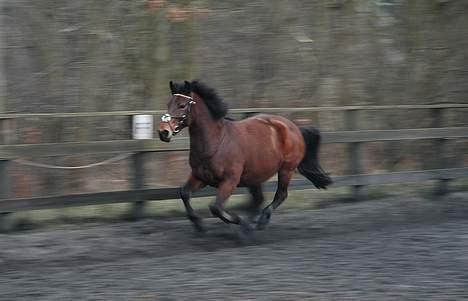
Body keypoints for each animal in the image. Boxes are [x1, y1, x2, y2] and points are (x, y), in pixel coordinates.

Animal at [159, 80, 330, 237]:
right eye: (168, 104)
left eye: (182, 105)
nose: (163, 132)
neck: (216, 142)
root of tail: (294, 127)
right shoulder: (200, 177)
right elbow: (184, 193)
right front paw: (199, 224)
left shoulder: (230, 181)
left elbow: (216, 208)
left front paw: (241, 223)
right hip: (255, 176)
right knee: (259, 199)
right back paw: (253, 220)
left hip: (286, 170)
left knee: (281, 195)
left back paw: (260, 220)